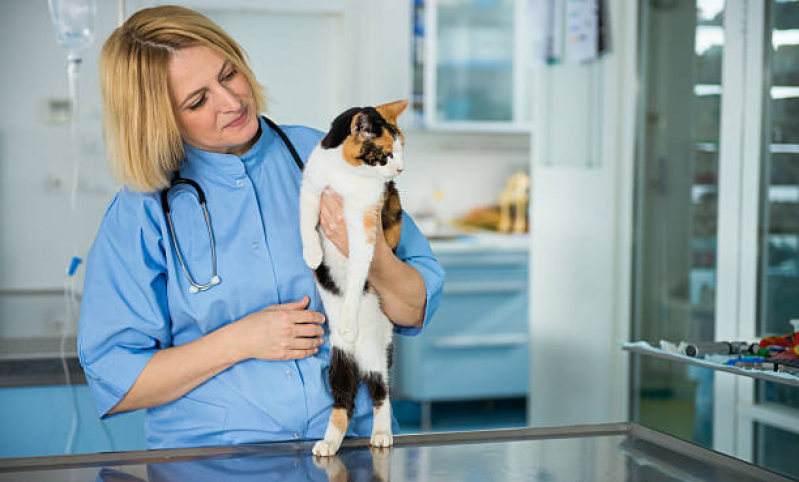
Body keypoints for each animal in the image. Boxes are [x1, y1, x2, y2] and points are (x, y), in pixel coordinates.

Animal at [304, 99, 410, 456]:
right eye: (387, 154)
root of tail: (359, 358)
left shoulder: (364, 221)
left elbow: (357, 272)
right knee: (344, 400)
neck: (346, 174)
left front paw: (349, 319)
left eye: (403, 151)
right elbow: (305, 219)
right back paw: (329, 442)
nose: (400, 170)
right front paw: (312, 254)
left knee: (381, 393)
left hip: (379, 353)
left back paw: (381, 434)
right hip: (337, 358)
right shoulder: (311, 186)